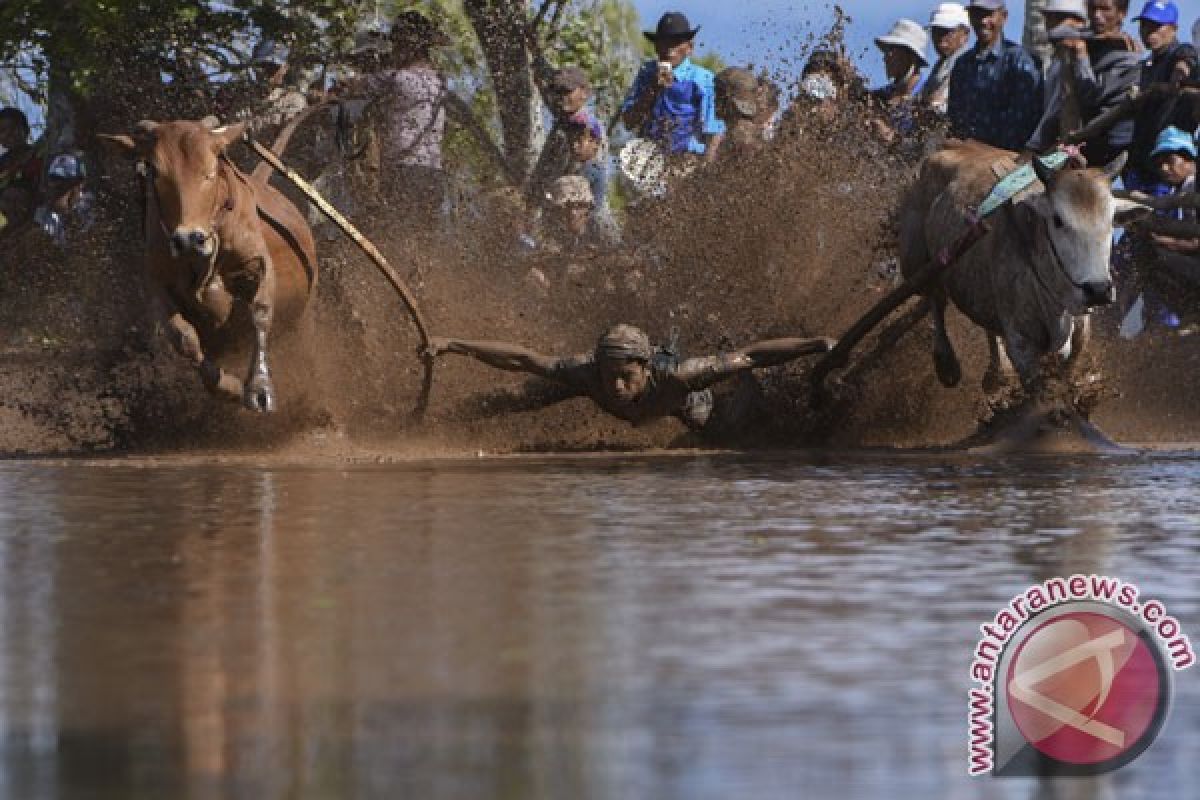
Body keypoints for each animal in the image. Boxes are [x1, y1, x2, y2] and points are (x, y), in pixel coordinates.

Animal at [102, 118, 316, 412]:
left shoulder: (258, 263)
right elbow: (185, 339)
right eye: (155, 171)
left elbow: (260, 313)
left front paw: (260, 386)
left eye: (211, 171)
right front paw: (230, 387)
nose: (189, 239)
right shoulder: (156, 283)